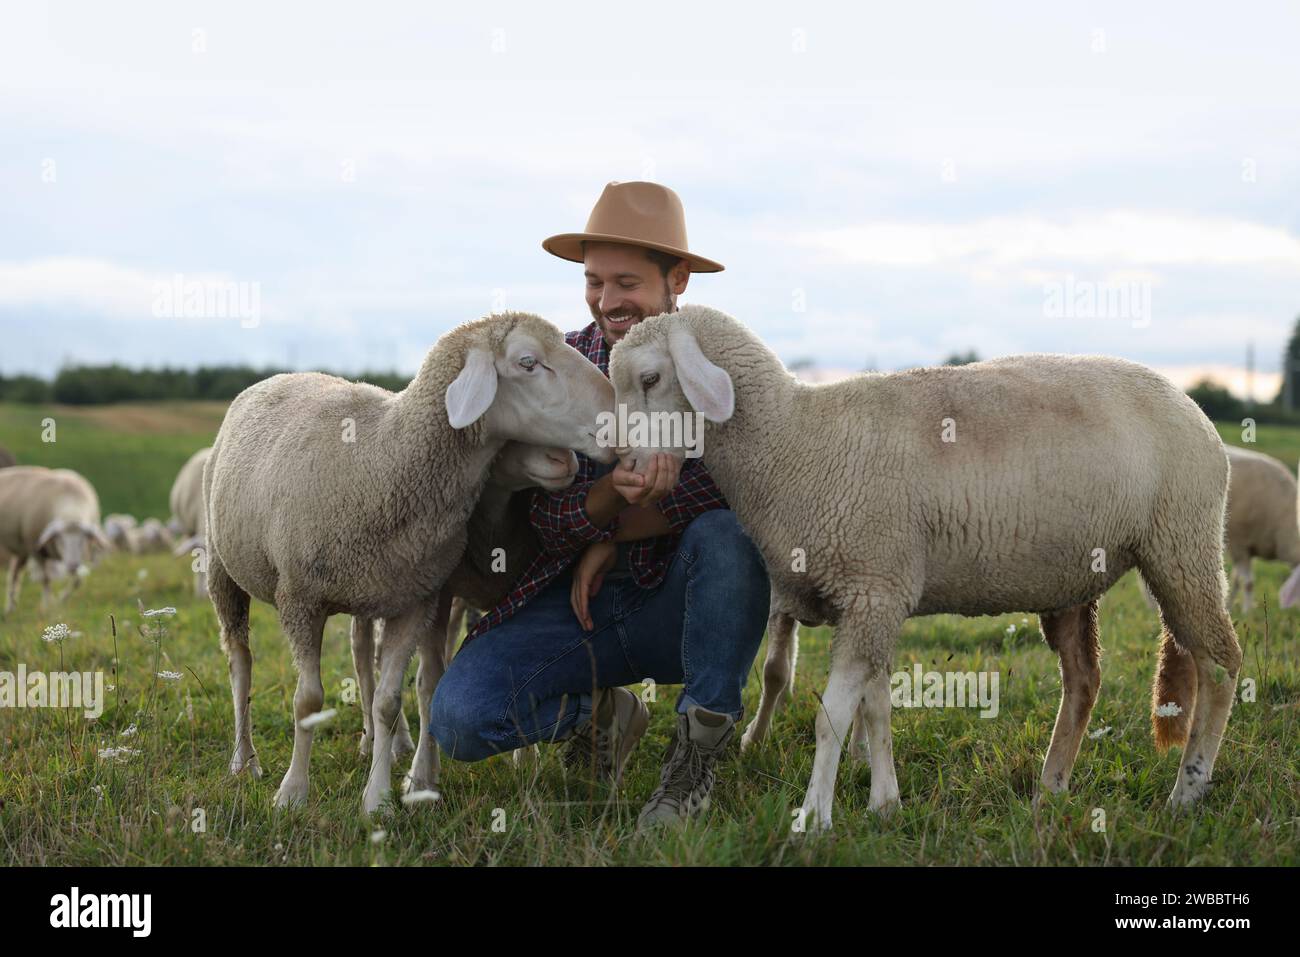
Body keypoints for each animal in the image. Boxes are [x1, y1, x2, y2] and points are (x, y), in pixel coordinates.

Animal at [0, 465, 110, 613]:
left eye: (82, 540)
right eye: (60, 539)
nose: (72, 565)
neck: (71, 508)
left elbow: (78, 581)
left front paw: (61, 600)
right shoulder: (35, 548)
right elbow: (46, 579)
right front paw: (48, 606)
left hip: (21, 549)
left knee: (15, 575)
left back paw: (11, 608)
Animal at [209, 314, 618, 816]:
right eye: (528, 362)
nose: (619, 414)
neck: (384, 461)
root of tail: (277, 377)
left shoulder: (414, 601)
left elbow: (388, 701)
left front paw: (379, 799)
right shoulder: (299, 599)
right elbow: (308, 700)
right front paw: (292, 793)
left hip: (371, 589)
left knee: (361, 654)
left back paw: (379, 743)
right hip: (221, 567)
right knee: (239, 660)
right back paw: (244, 760)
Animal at [608, 306, 1237, 832]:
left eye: (650, 379)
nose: (619, 464)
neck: (794, 443)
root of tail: (1190, 405)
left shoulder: (872, 586)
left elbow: (834, 716)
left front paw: (814, 819)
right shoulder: (875, 592)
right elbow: (876, 706)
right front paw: (884, 803)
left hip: (1182, 546)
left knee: (1221, 665)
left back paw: (1186, 794)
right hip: (1076, 578)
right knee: (1084, 682)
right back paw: (1049, 790)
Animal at [1216, 447, 1300, 613]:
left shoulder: (1248, 548)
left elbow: (1235, 580)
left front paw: (1229, 606)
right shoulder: (1238, 543)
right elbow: (1248, 583)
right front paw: (1248, 612)